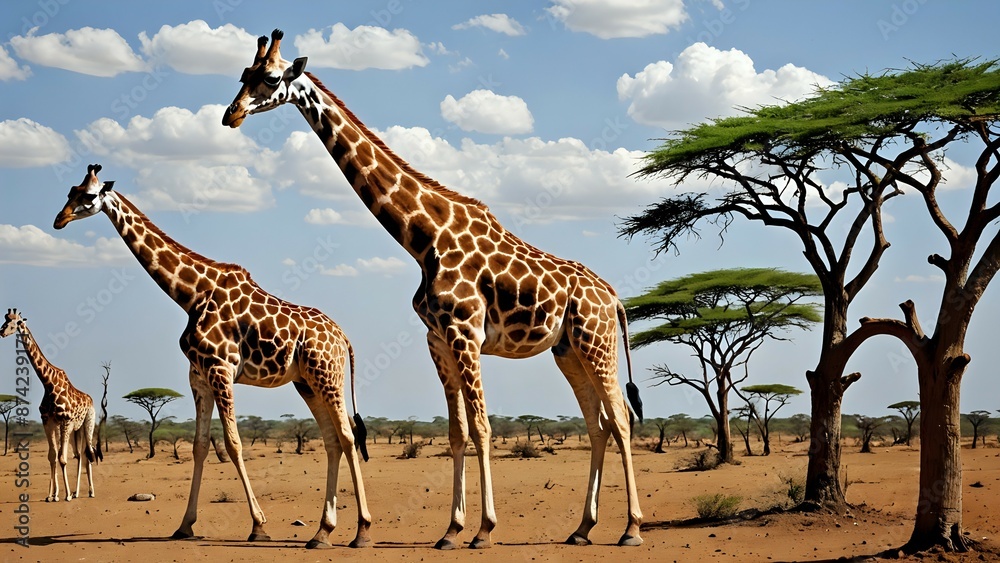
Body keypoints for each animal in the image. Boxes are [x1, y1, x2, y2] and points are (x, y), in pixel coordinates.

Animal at [1, 308, 99, 502]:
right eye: (5, 321)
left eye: (15, 323)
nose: (1, 332)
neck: (48, 383)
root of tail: (90, 399)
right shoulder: (48, 421)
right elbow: (52, 457)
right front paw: (52, 495)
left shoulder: (65, 421)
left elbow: (62, 459)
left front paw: (65, 495)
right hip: (76, 430)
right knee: (79, 455)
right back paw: (77, 492)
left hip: (87, 423)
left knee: (88, 453)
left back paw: (90, 492)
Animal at [52, 164, 372, 549]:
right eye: (68, 191)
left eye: (87, 196)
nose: (59, 219)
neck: (191, 295)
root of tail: (344, 338)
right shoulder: (198, 377)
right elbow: (200, 446)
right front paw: (184, 525)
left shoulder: (221, 369)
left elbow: (233, 444)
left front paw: (258, 526)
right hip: (306, 383)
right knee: (331, 441)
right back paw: (322, 532)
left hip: (328, 376)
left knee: (348, 436)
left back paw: (362, 531)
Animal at [223, 30, 644, 548]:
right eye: (242, 75)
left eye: (269, 77)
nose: (231, 114)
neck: (423, 239)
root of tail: (615, 298)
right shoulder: (438, 339)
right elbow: (457, 432)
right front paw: (451, 529)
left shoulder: (466, 333)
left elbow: (482, 428)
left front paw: (484, 529)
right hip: (567, 349)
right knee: (598, 424)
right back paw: (582, 528)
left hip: (595, 340)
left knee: (620, 420)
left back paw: (631, 528)